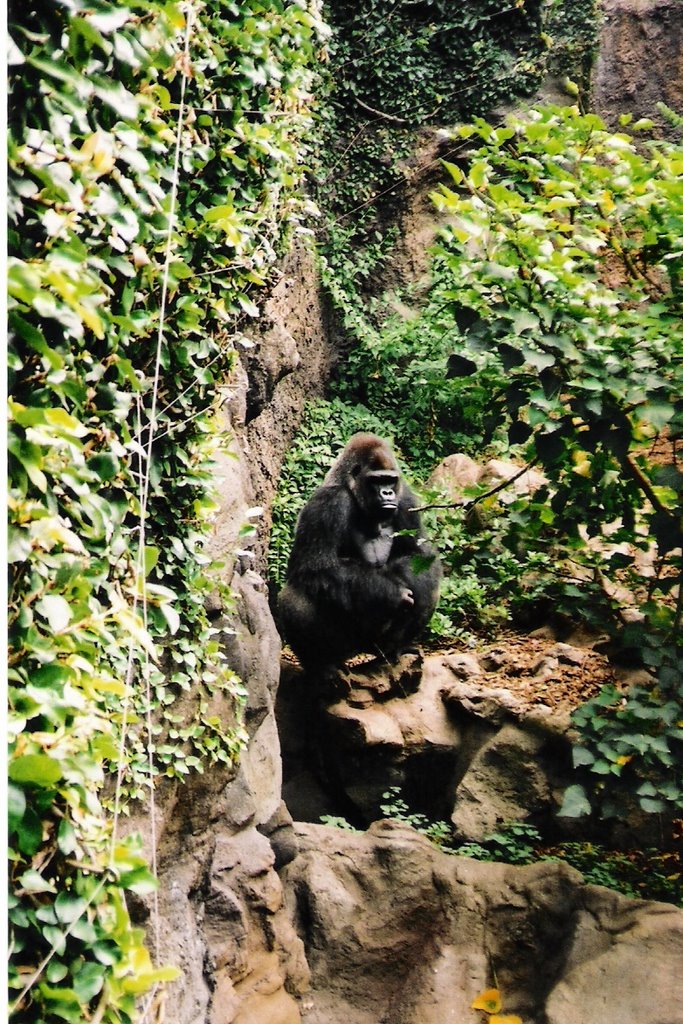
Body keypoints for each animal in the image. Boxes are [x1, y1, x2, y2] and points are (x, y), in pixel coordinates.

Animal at [278, 432, 444, 671]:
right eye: (377, 480)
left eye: (390, 480)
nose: (387, 493)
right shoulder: (327, 503)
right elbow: (315, 568)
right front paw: (392, 592)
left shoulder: (406, 500)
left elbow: (420, 557)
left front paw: (404, 580)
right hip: (348, 648)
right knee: (294, 595)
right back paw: (323, 667)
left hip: (377, 647)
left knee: (429, 588)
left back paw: (395, 650)